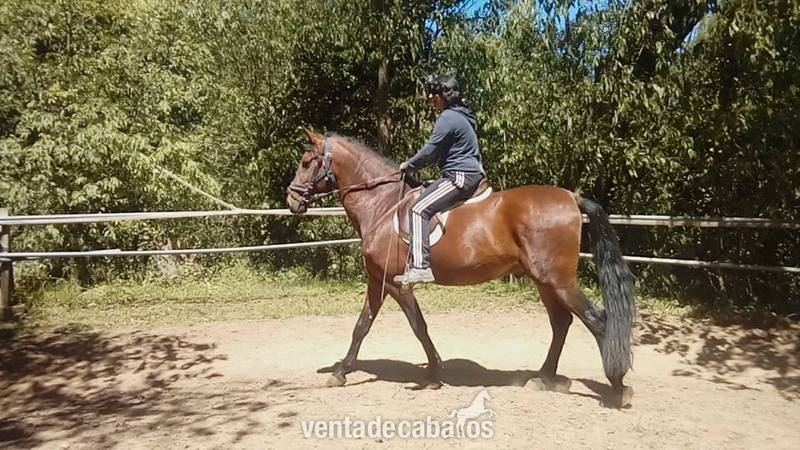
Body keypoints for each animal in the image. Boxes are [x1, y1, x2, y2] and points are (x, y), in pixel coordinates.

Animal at [286, 129, 636, 408]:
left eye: (305, 163)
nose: (291, 200)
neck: (382, 205)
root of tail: (571, 197)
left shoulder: (398, 284)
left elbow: (418, 326)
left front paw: (434, 371)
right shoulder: (378, 280)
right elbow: (362, 326)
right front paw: (341, 372)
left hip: (559, 280)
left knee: (597, 320)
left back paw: (618, 388)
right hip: (545, 281)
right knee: (561, 323)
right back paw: (543, 377)